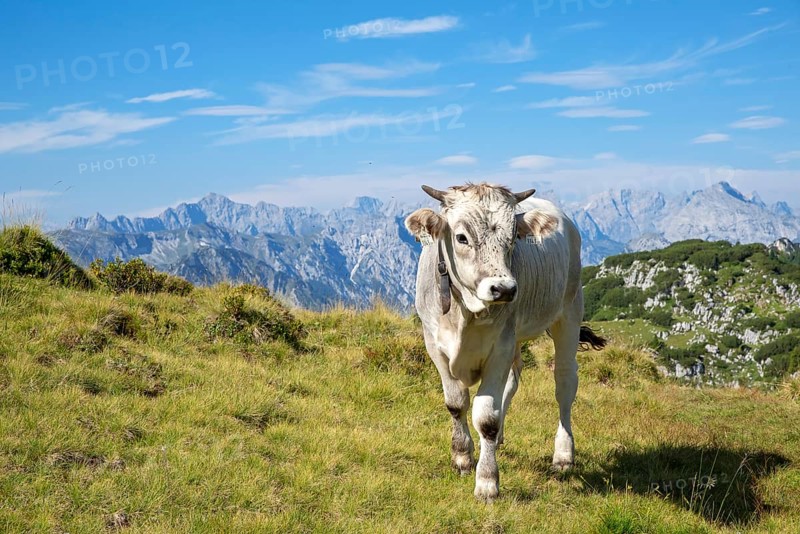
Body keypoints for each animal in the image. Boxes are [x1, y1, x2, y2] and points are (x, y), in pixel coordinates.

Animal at [404, 182, 606, 502]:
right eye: (461, 237)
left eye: (512, 239)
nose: (504, 289)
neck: (466, 311)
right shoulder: (435, 346)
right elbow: (456, 404)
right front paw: (462, 457)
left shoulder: (499, 348)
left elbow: (486, 417)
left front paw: (487, 482)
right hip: (517, 338)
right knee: (513, 380)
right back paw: (499, 440)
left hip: (569, 313)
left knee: (564, 385)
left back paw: (563, 454)